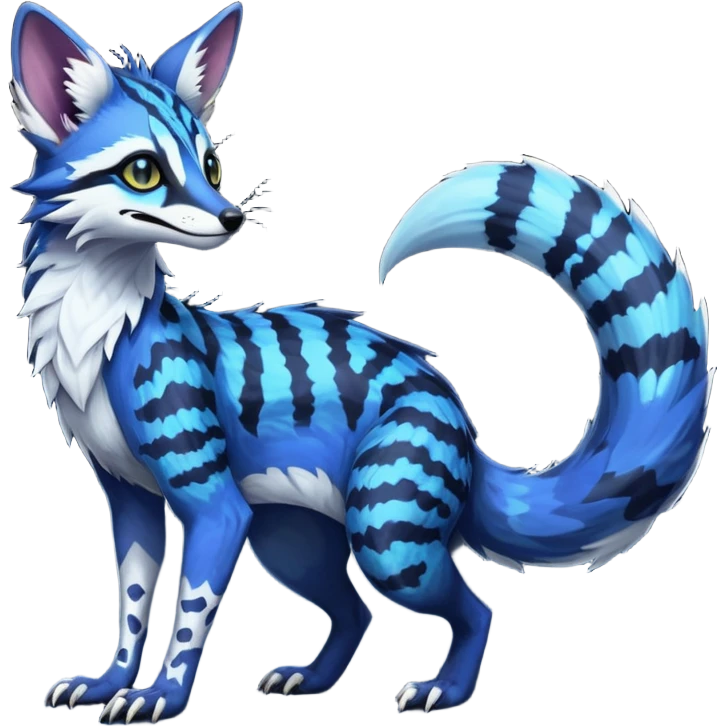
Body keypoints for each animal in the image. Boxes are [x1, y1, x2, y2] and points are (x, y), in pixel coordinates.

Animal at [13, 1, 714, 723]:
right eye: (143, 170)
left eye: (210, 162)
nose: (230, 217)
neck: (97, 327)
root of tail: (460, 419)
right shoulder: (127, 494)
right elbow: (129, 601)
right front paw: (109, 683)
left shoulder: (215, 504)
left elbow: (191, 611)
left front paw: (163, 696)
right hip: (291, 534)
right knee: (356, 613)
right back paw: (315, 679)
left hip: (385, 524)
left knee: (476, 610)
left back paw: (444, 691)